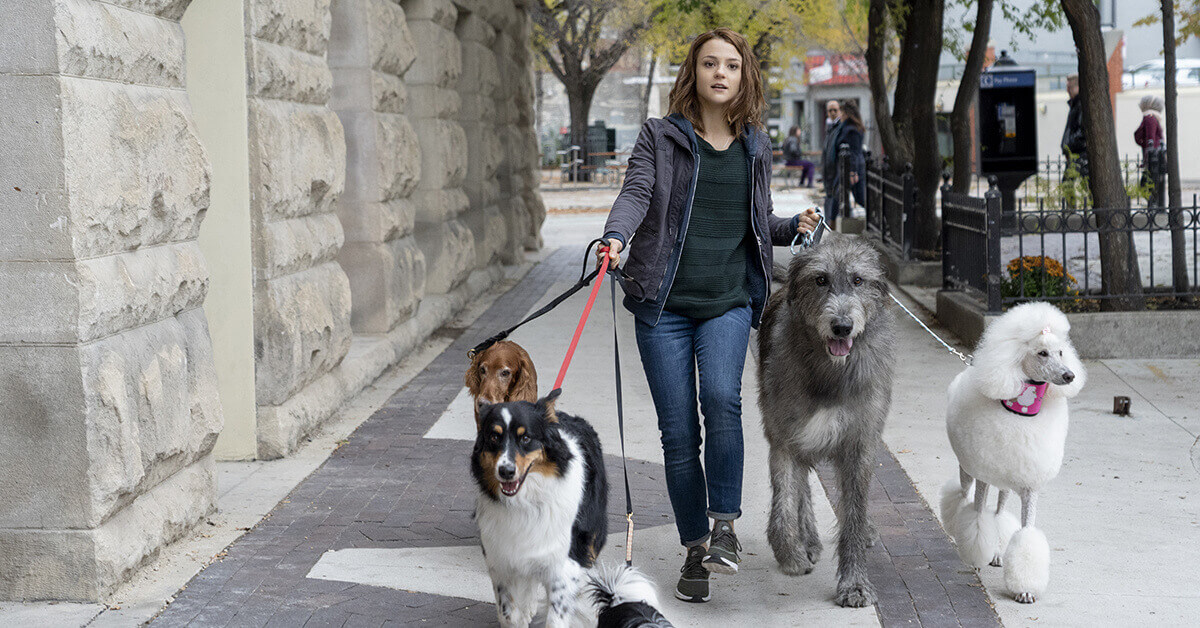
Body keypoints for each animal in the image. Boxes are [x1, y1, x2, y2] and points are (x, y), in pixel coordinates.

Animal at [472, 391, 609, 624]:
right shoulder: (500, 559)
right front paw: (521, 615)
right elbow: (509, 613)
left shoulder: (564, 563)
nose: (506, 471)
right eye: (494, 437)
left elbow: (556, 617)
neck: (526, 501)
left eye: (526, 438)